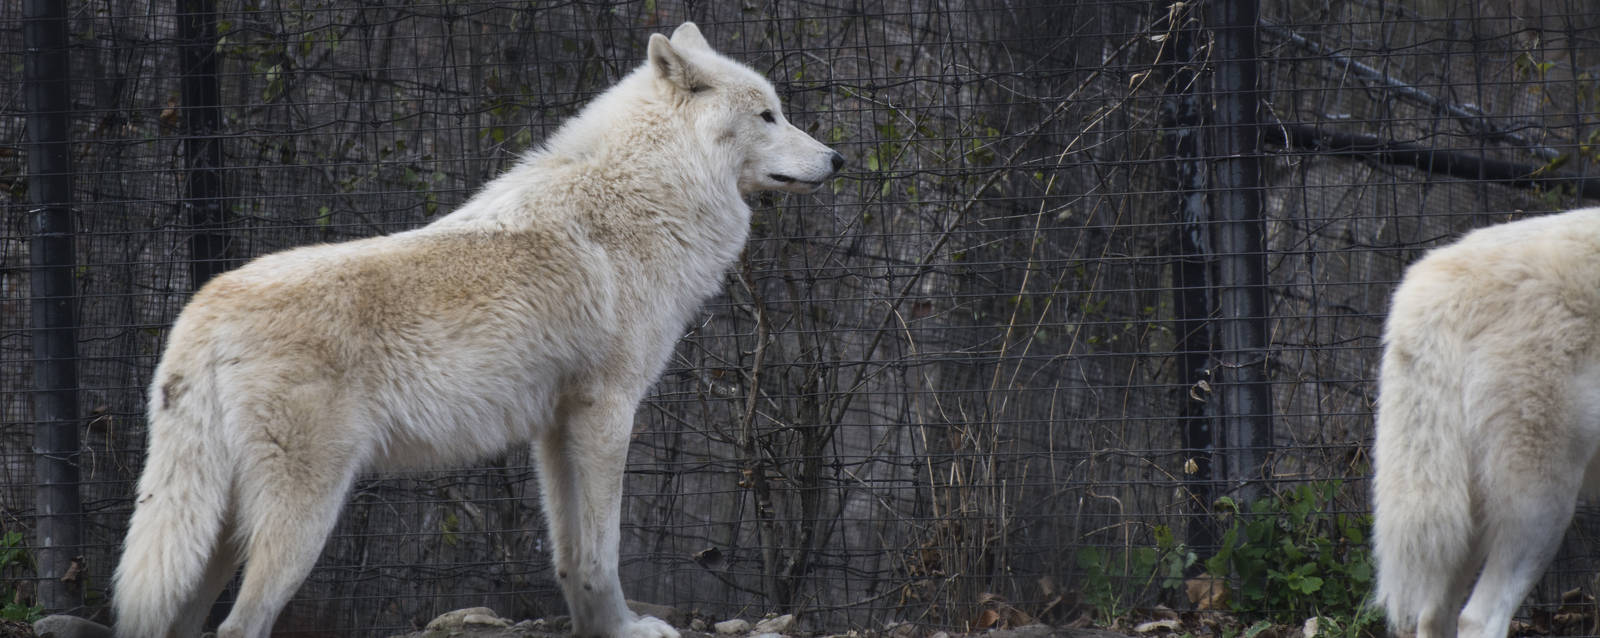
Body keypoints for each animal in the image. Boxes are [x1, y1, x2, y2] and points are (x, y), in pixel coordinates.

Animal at [112, 22, 842, 638]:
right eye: (768, 115)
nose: (836, 159)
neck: (648, 196)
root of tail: (203, 309)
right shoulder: (608, 412)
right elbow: (603, 552)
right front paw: (627, 629)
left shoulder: (557, 427)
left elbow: (571, 556)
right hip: (299, 521)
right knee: (239, 626)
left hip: (214, 532)